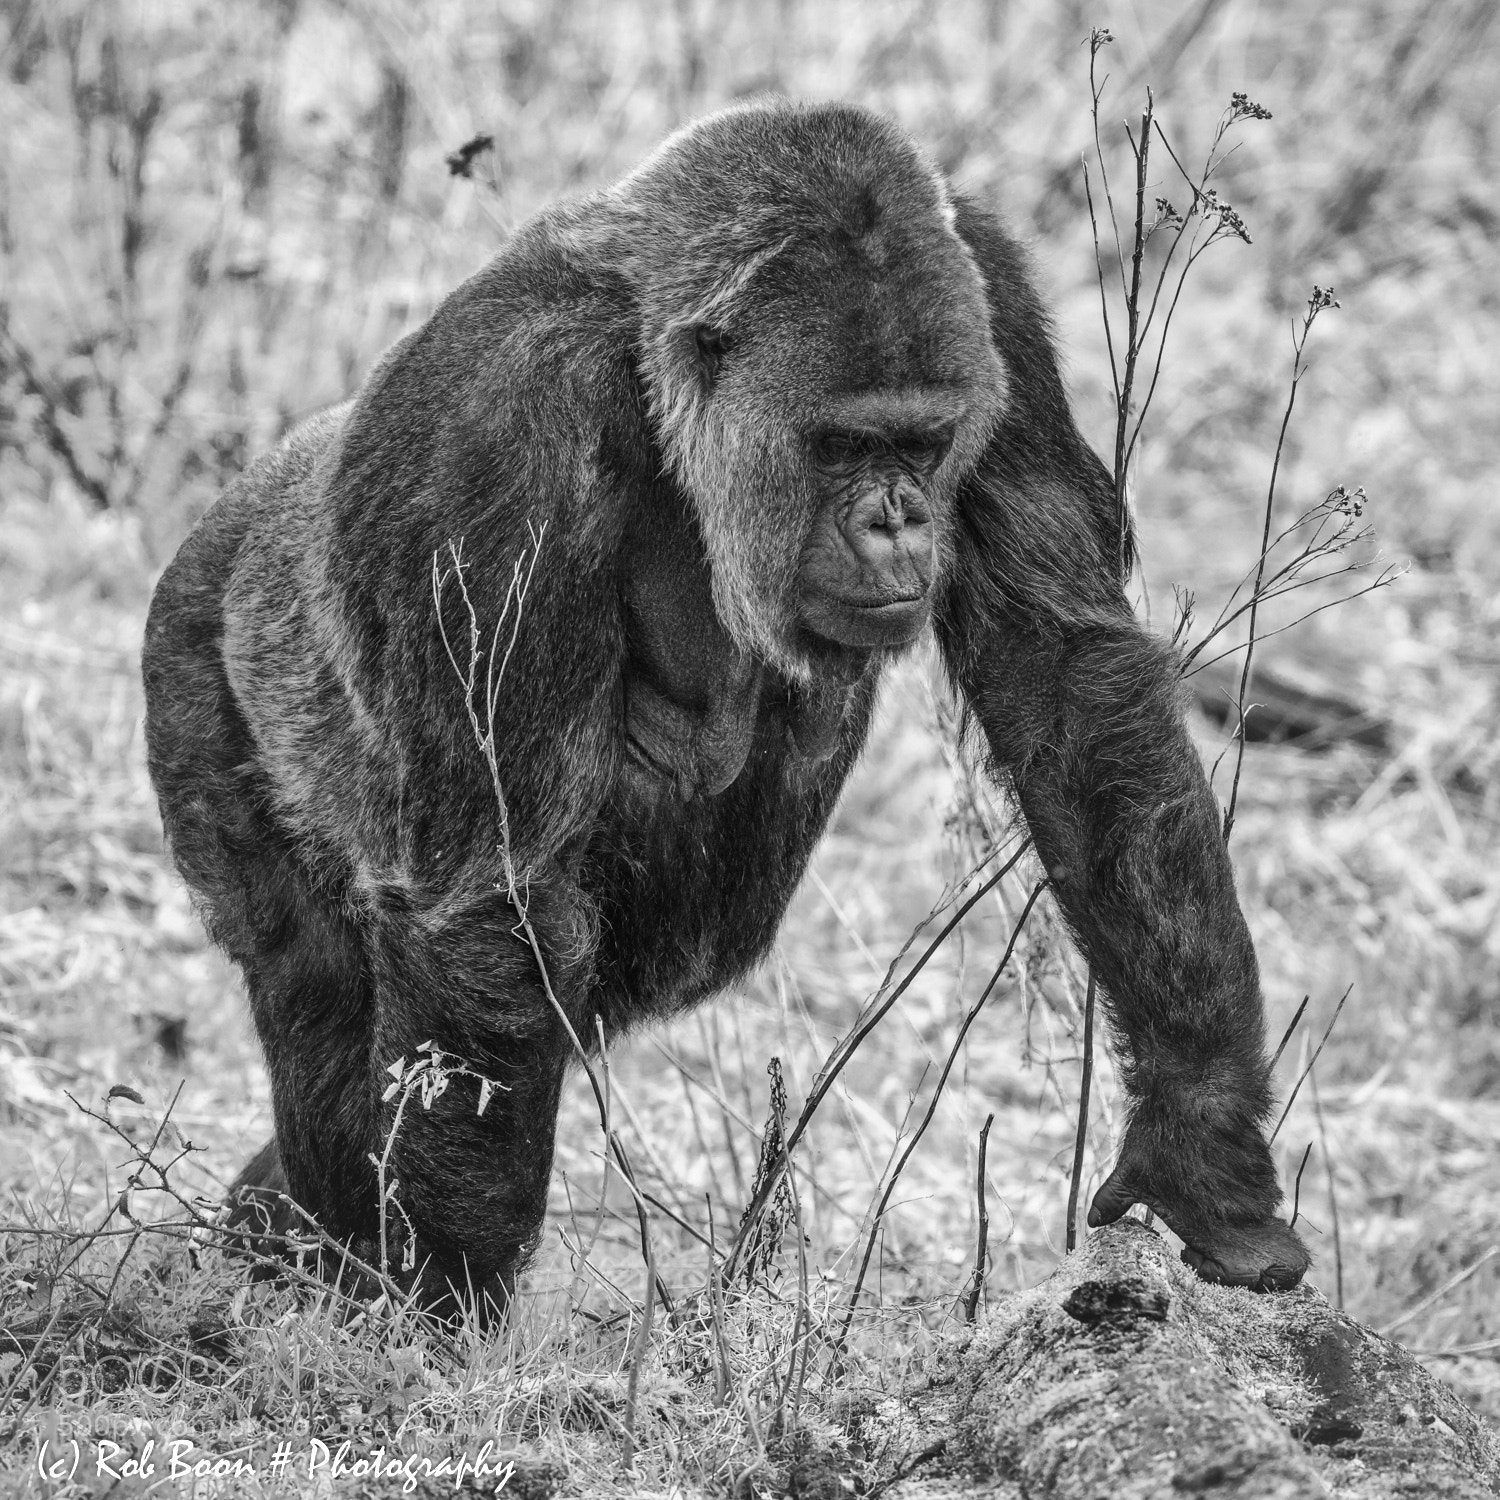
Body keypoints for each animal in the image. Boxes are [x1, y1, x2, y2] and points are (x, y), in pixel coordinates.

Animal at [141, 99, 1310, 1313]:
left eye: (923, 443)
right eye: (842, 445)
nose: (898, 520)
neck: (650, 350)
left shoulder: (992, 294)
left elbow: (1067, 678)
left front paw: (1202, 1141)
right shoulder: (498, 413)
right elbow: (495, 889)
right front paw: (442, 1298)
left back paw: (274, 1216)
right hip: (191, 661)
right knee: (320, 980)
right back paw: (318, 1242)